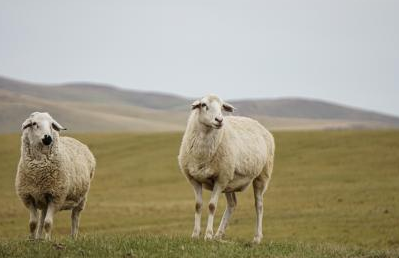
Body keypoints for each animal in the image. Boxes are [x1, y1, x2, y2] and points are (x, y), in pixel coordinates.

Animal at [14, 112, 96, 241]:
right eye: (34, 123)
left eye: (51, 125)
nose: (48, 138)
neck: (38, 170)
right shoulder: (28, 196)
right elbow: (33, 223)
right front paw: (32, 240)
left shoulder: (56, 197)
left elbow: (48, 223)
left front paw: (48, 240)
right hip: (43, 197)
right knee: (42, 217)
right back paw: (38, 238)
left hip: (81, 198)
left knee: (75, 218)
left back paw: (73, 238)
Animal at [178, 93, 276, 243]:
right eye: (204, 105)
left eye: (222, 107)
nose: (219, 120)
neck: (202, 155)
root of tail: (258, 124)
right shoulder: (195, 180)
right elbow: (198, 205)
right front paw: (195, 234)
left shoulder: (220, 179)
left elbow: (212, 206)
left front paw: (208, 234)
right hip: (230, 180)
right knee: (232, 204)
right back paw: (219, 234)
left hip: (261, 175)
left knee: (259, 205)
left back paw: (257, 238)